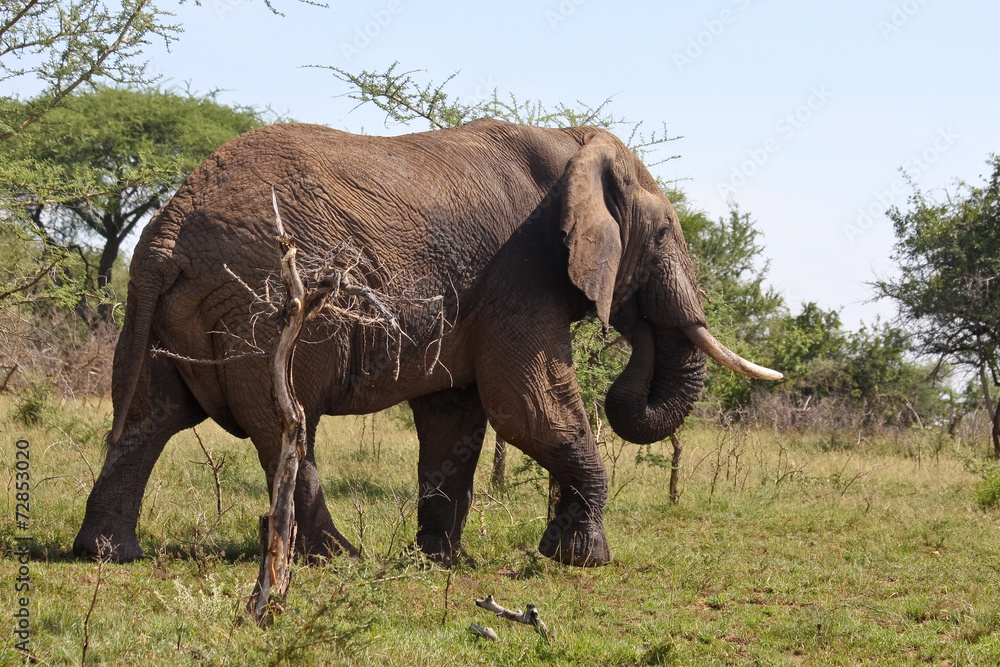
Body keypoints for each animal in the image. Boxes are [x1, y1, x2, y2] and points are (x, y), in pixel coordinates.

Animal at [73, 119, 780, 567]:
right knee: (285, 424)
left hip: (173, 310)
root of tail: (169, 230)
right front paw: (583, 561)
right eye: (663, 235)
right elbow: (527, 407)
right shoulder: (520, 271)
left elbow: (457, 417)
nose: (635, 330)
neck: (573, 141)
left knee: (150, 417)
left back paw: (106, 555)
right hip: (266, 304)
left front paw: (442, 561)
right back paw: (338, 558)